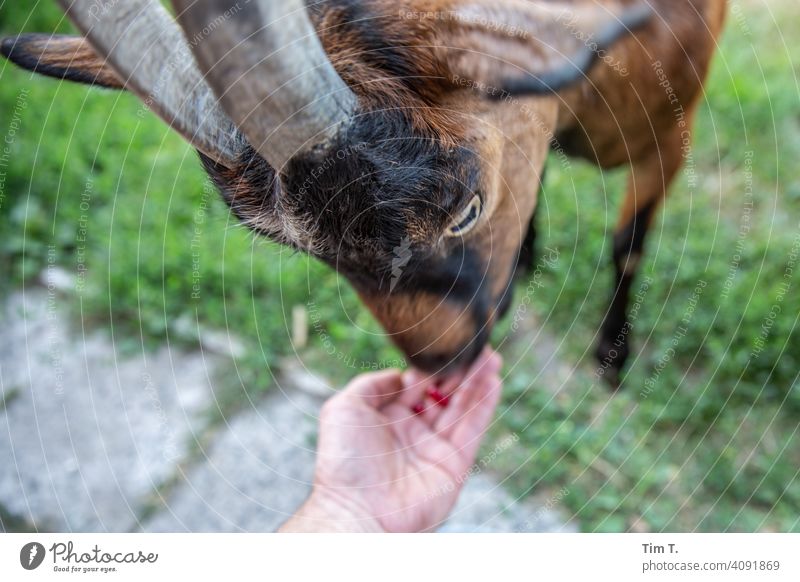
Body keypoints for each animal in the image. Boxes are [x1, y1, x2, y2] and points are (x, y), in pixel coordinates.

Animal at [0, 1, 724, 388]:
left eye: (468, 209)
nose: (444, 365)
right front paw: (527, 258)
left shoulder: (673, 136)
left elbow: (628, 242)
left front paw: (611, 358)